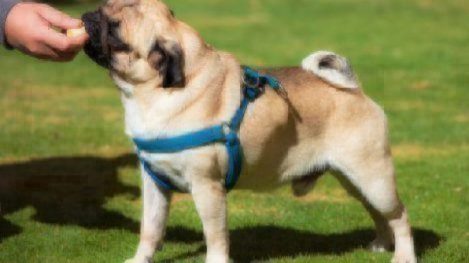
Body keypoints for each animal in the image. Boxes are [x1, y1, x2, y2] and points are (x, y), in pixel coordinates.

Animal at [82, 0, 414, 263]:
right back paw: (381, 244)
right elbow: (150, 229)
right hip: (354, 180)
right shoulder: (154, 184)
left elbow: (215, 235)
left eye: (115, 31)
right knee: (377, 212)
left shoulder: (207, 187)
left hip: (373, 177)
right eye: (103, 7)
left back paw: (403, 255)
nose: (88, 16)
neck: (152, 93)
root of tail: (354, 89)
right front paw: (141, 259)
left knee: (398, 215)